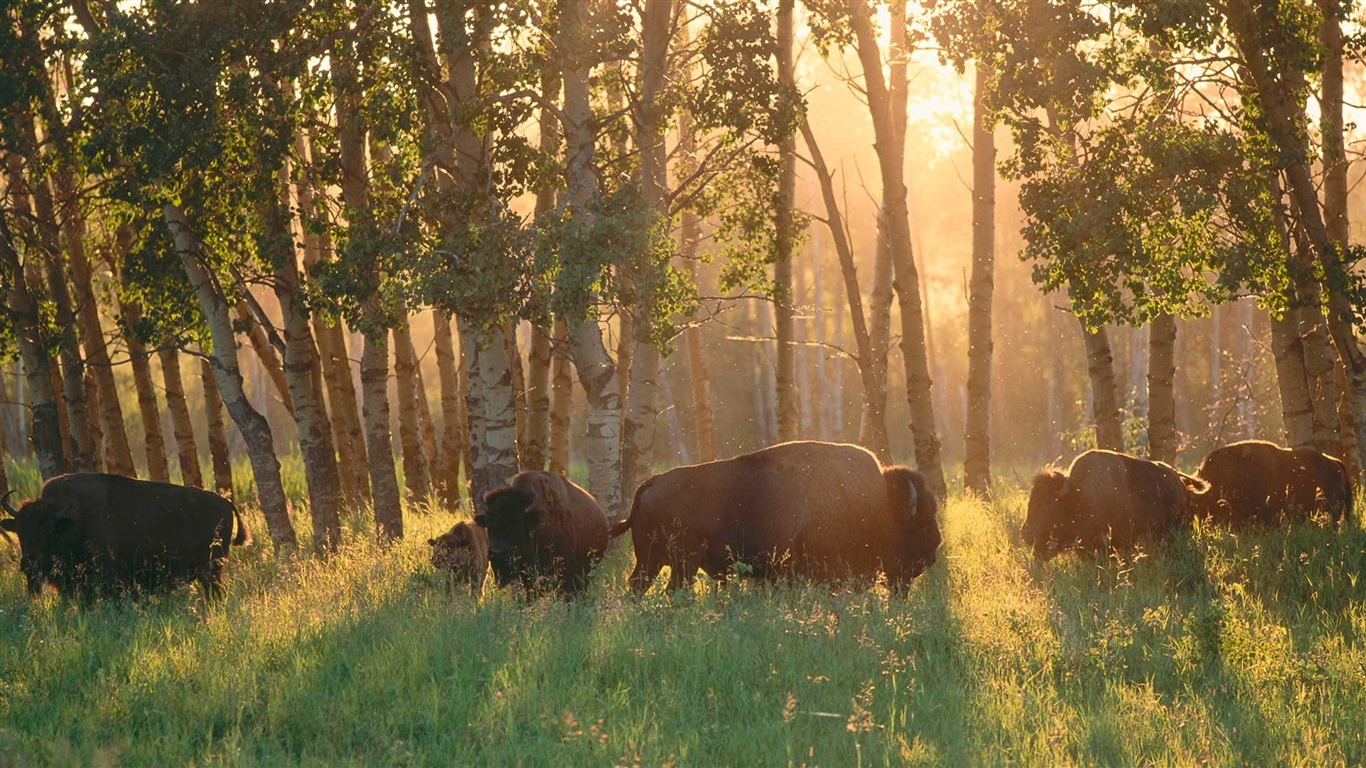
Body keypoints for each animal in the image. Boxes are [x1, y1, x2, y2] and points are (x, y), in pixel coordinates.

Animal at [0, 472, 248, 598]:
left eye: (48, 530)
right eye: (20, 531)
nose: (28, 563)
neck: (73, 518)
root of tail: (225, 502)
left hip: (211, 571)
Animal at [609, 440, 939, 587]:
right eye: (921, 524)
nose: (934, 550)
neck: (880, 503)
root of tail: (650, 483)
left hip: (651, 561)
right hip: (682, 564)